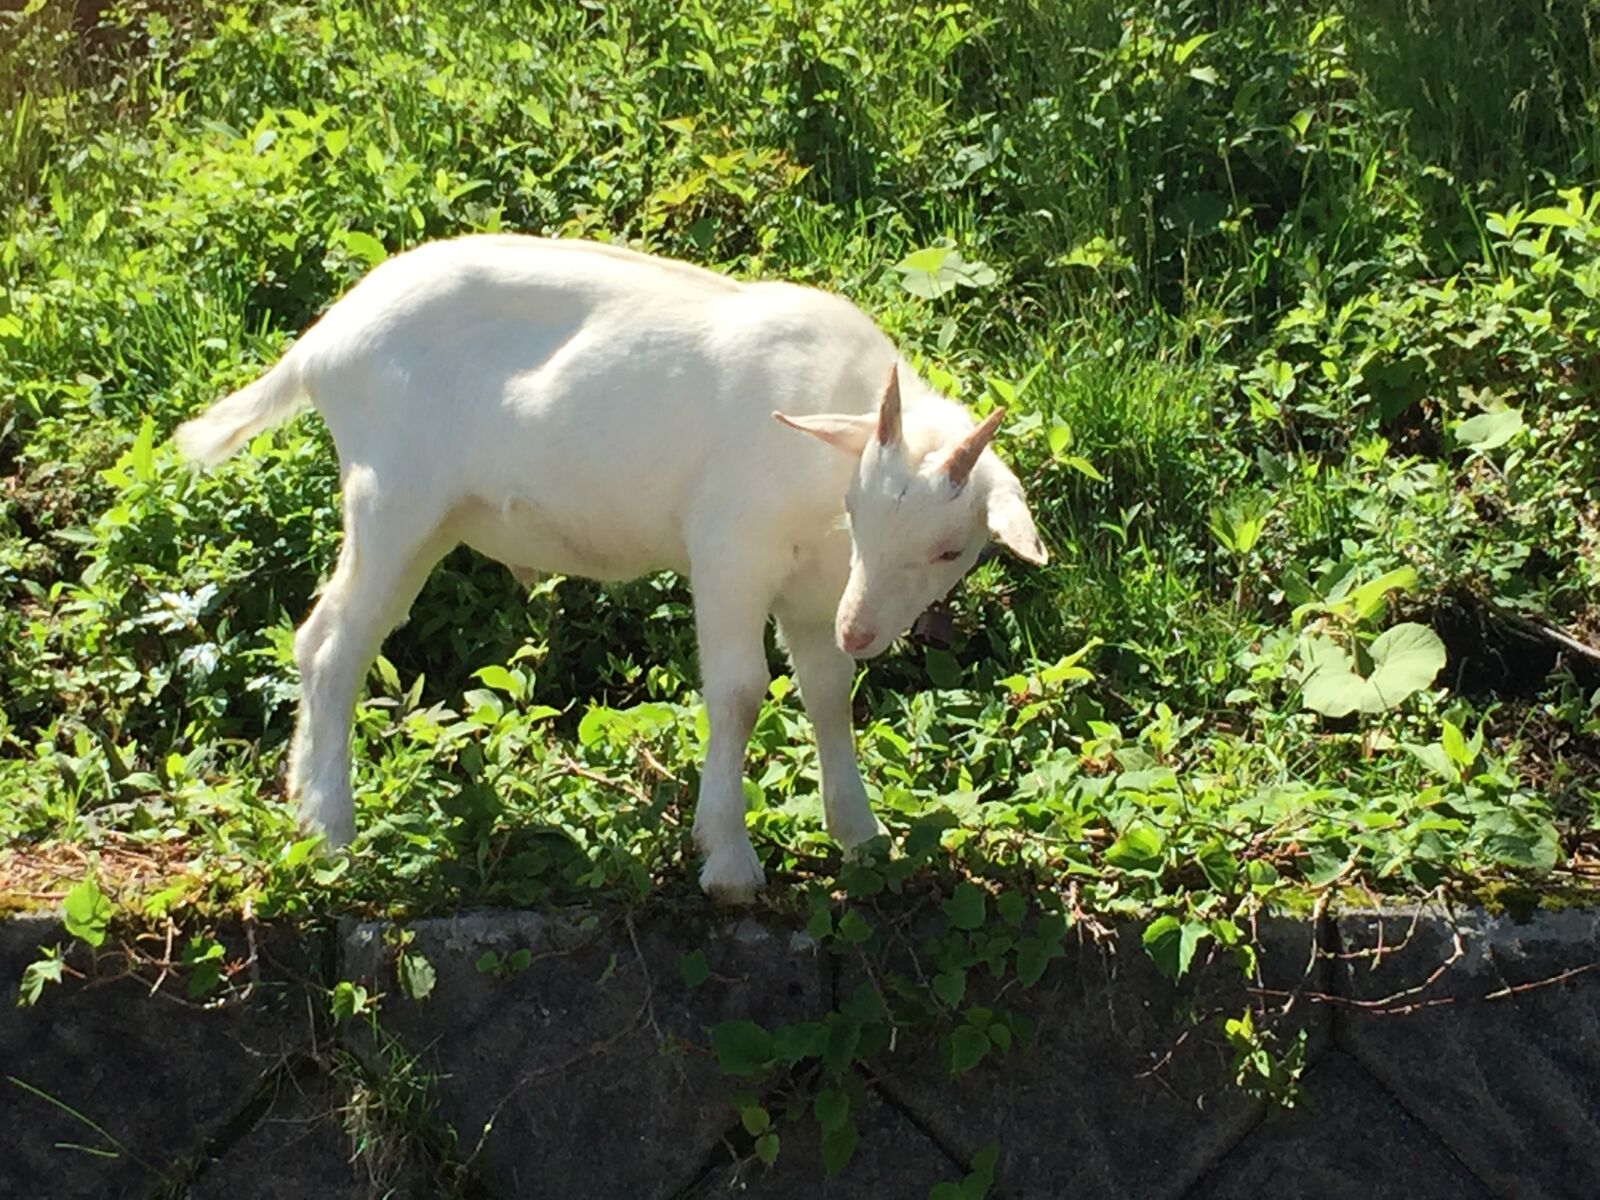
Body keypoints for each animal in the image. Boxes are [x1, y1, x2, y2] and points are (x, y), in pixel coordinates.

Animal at [175, 235, 1047, 901]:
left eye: (949, 548)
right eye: (860, 509)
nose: (864, 630)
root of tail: (322, 344)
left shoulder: (818, 586)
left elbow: (828, 692)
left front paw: (862, 838)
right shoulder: (730, 547)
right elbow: (739, 692)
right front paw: (727, 862)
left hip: (424, 518)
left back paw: (306, 803)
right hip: (392, 495)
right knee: (333, 643)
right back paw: (330, 832)